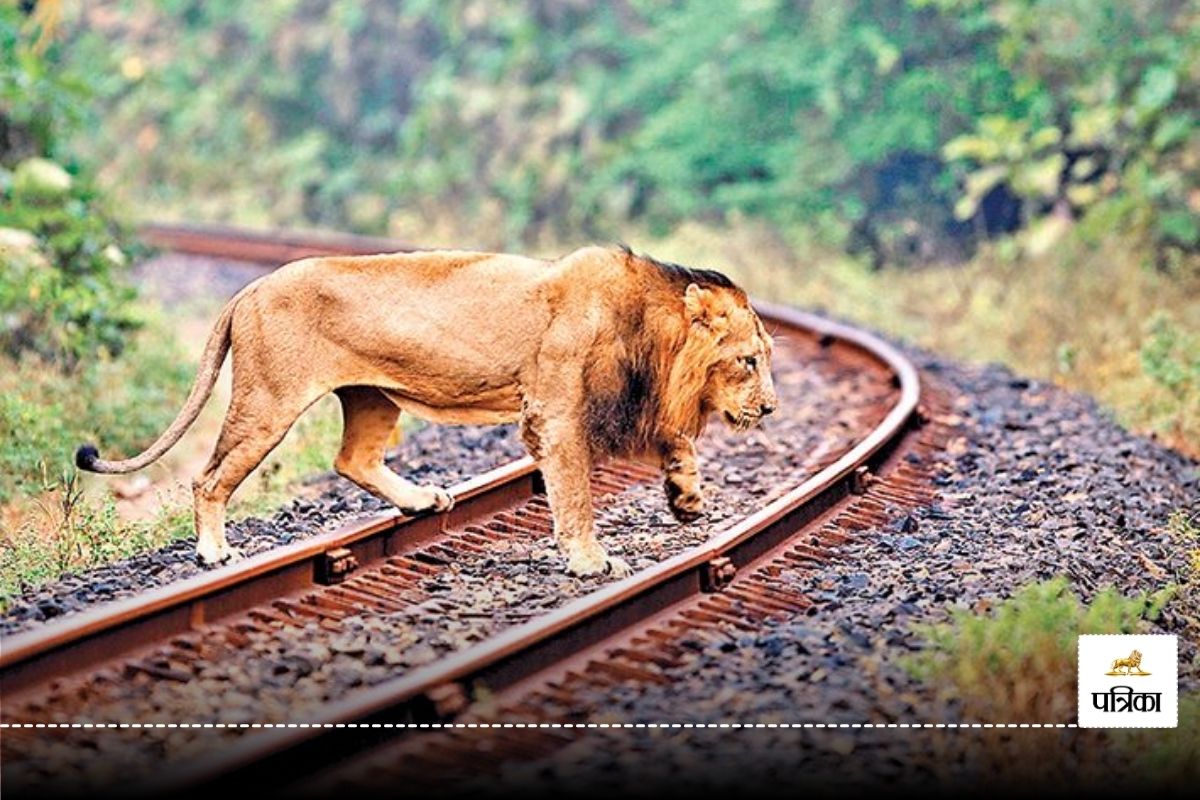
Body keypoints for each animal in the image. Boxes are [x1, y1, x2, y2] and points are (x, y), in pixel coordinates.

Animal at [75, 244, 772, 575]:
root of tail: (248, 288)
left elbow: (679, 441)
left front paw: (688, 499)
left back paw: (421, 501)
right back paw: (215, 554)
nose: (770, 408)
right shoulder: (555, 416)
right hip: (268, 401)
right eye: (748, 361)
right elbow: (574, 494)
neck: (652, 336)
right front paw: (589, 561)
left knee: (353, 459)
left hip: (370, 397)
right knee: (209, 477)